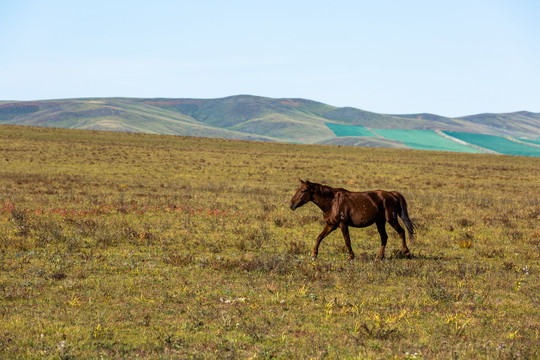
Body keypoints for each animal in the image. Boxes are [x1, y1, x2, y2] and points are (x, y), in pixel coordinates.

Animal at [288, 179, 416, 258]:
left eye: (303, 190)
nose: (291, 205)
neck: (332, 202)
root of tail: (391, 194)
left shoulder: (342, 224)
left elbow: (347, 240)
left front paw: (351, 256)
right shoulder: (331, 225)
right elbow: (319, 237)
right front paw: (314, 254)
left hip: (391, 219)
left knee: (401, 231)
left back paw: (406, 252)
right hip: (380, 222)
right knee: (384, 237)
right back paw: (379, 257)